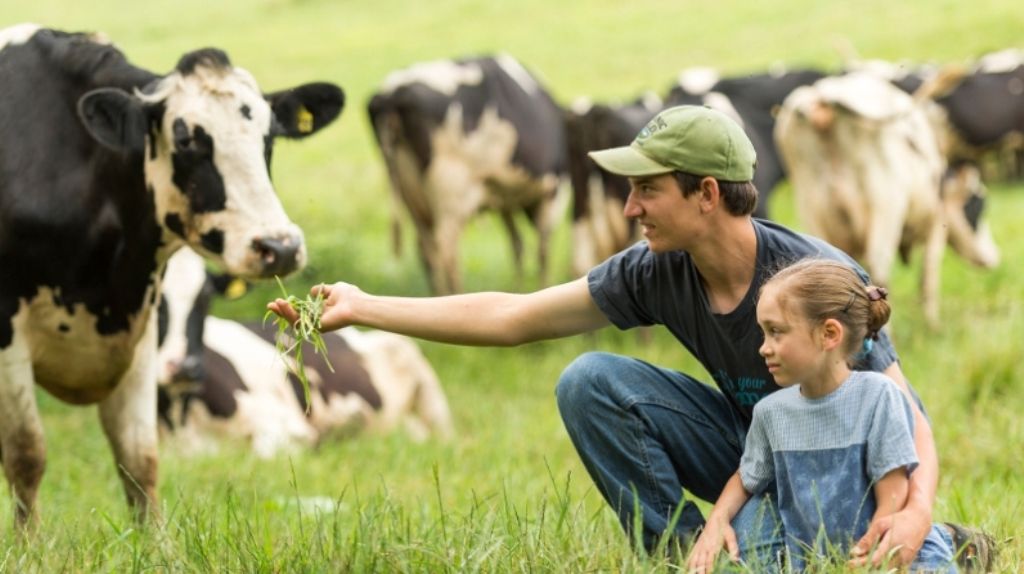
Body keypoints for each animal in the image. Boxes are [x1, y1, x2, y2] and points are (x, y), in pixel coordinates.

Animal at [0, 22, 344, 523]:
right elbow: (27, 456)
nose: (279, 247)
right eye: (187, 140)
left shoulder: (139, 332)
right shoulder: (8, 335)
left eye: (269, 137)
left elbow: (140, 459)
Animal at [368, 54, 569, 292]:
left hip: (411, 195)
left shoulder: (504, 198)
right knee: (446, 251)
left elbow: (517, 244)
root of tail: (394, 93)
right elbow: (542, 250)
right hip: (451, 192)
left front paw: (518, 288)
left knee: (426, 251)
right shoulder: (551, 193)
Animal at [774, 72, 999, 325]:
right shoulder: (935, 225)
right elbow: (928, 274)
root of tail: (823, 96)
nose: (994, 257)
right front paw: (932, 324)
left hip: (812, 209)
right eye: (978, 205)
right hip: (885, 210)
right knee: (879, 271)